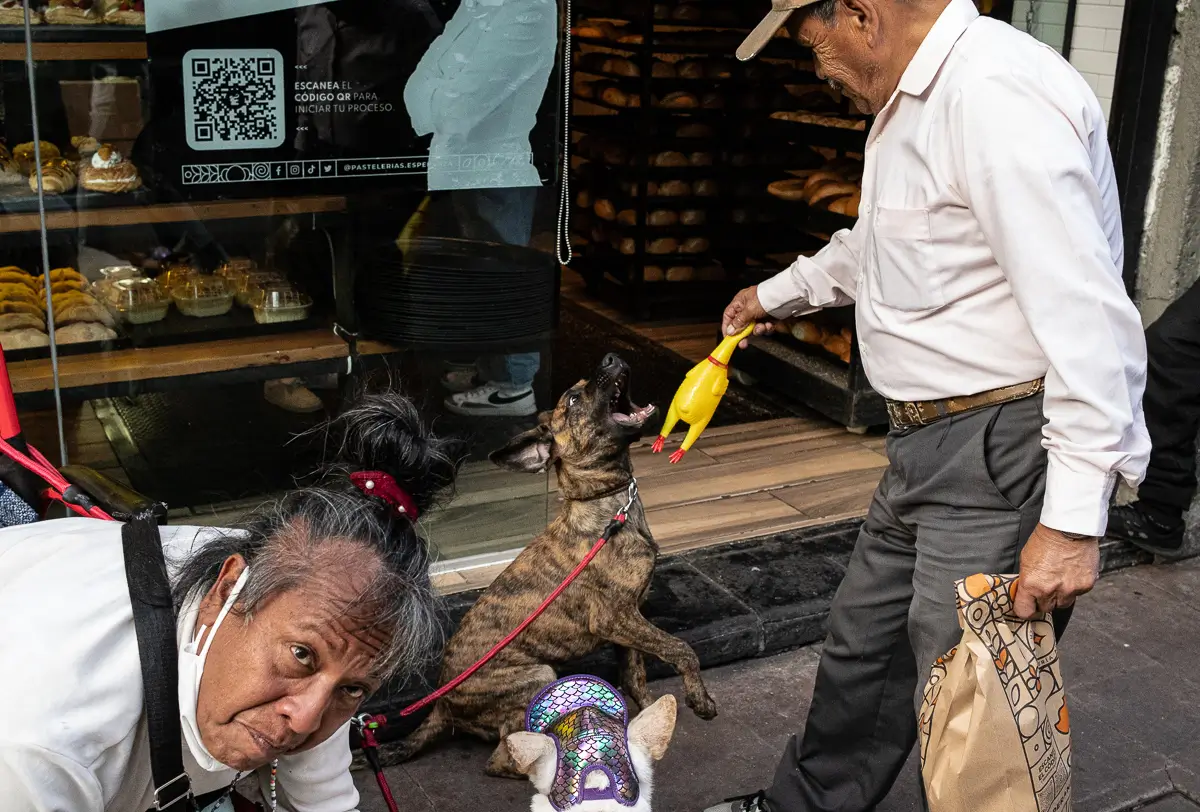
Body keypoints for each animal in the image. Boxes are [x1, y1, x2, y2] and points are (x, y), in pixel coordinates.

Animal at [391, 352, 710, 772]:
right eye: (573, 400)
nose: (611, 358)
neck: (606, 505)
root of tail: (441, 707)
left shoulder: (628, 622)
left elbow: (635, 677)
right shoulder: (616, 618)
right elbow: (679, 648)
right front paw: (701, 698)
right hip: (538, 674)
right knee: (499, 760)